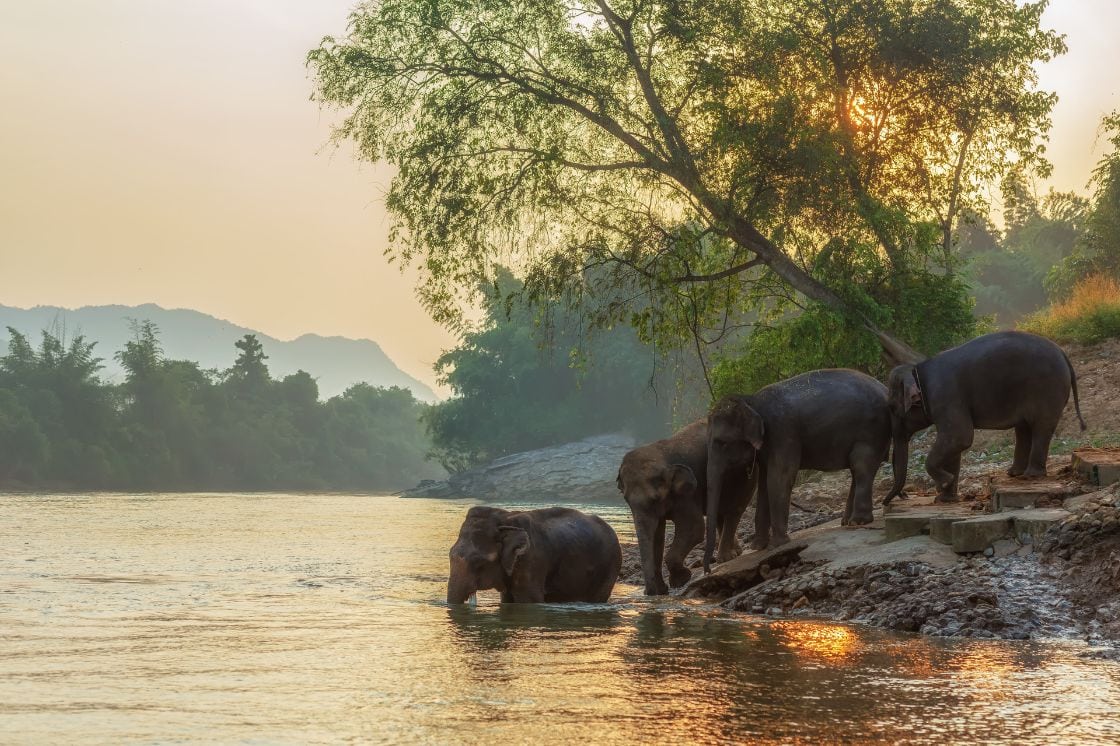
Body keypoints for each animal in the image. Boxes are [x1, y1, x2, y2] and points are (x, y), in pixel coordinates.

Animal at [445, 501, 622, 600]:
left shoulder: (532, 560)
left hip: (610, 567)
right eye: (450, 554)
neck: (505, 519)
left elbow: (530, 600)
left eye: (479, 562)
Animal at [618, 418, 757, 591]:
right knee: (720, 512)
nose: (651, 592)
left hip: (746, 472)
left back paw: (725, 558)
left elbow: (693, 528)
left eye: (655, 499)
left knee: (734, 509)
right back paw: (736, 553)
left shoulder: (688, 493)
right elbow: (657, 535)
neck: (660, 453)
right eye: (626, 500)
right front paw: (661, 589)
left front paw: (680, 580)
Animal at [703, 367, 904, 569]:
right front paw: (758, 547)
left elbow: (779, 478)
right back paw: (847, 522)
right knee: (857, 469)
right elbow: (764, 486)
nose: (709, 570)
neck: (751, 401)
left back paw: (858, 521)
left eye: (722, 443)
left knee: (861, 465)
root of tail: (884, 389)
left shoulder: (782, 432)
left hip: (871, 430)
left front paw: (777, 545)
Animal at [882, 329, 1084, 499]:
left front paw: (944, 484)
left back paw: (1031, 475)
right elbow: (955, 444)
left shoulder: (946, 397)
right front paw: (944, 498)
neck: (916, 370)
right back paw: (1015, 473)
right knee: (1024, 428)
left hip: (1046, 388)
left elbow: (959, 437)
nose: (903, 496)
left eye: (891, 407)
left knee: (1041, 426)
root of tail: (1063, 354)